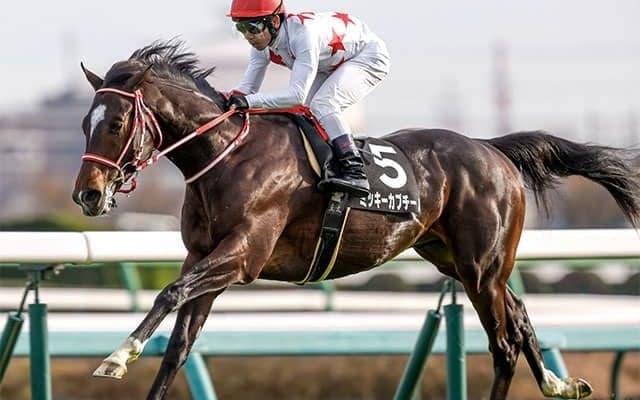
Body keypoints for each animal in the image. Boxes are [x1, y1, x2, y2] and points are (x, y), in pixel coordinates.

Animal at [72, 40, 640, 400]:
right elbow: (179, 347)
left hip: (482, 268)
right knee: (518, 318)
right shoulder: (205, 257)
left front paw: (117, 356)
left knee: (502, 345)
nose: (87, 194)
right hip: (457, 260)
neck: (227, 155)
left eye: (117, 123)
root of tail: (491, 148)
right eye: (84, 123)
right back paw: (561, 384)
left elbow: (169, 293)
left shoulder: (243, 255)